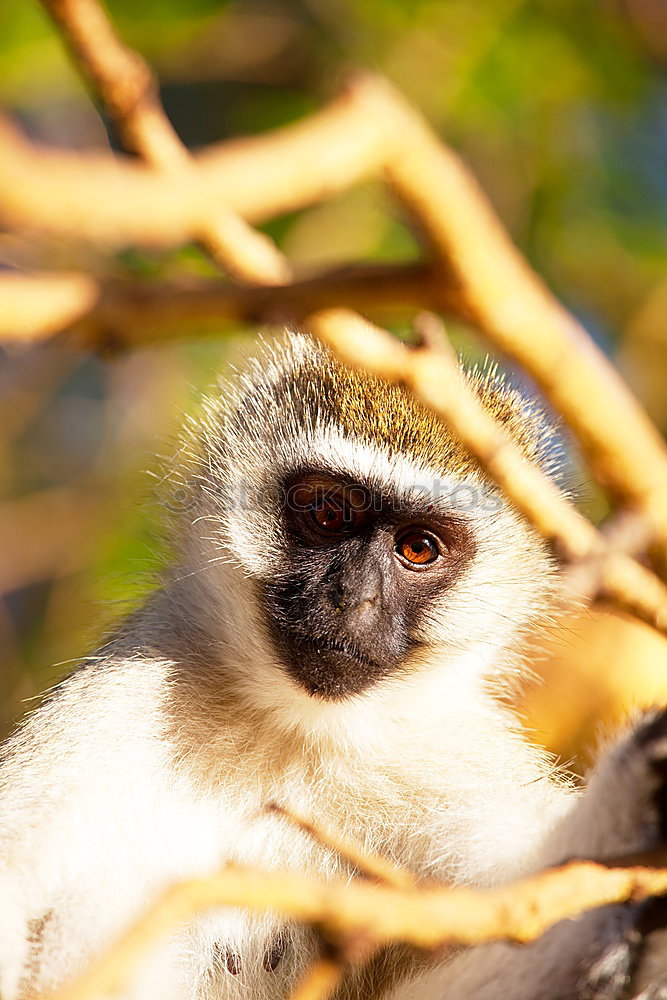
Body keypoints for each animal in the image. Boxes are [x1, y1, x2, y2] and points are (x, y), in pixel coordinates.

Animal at [0, 331, 666, 1000]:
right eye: (326, 515)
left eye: (418, 548)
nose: (353, 598)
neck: (293, 730)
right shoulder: (122, 696)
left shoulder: (452, 762)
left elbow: (528, 905)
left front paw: (632, 798)